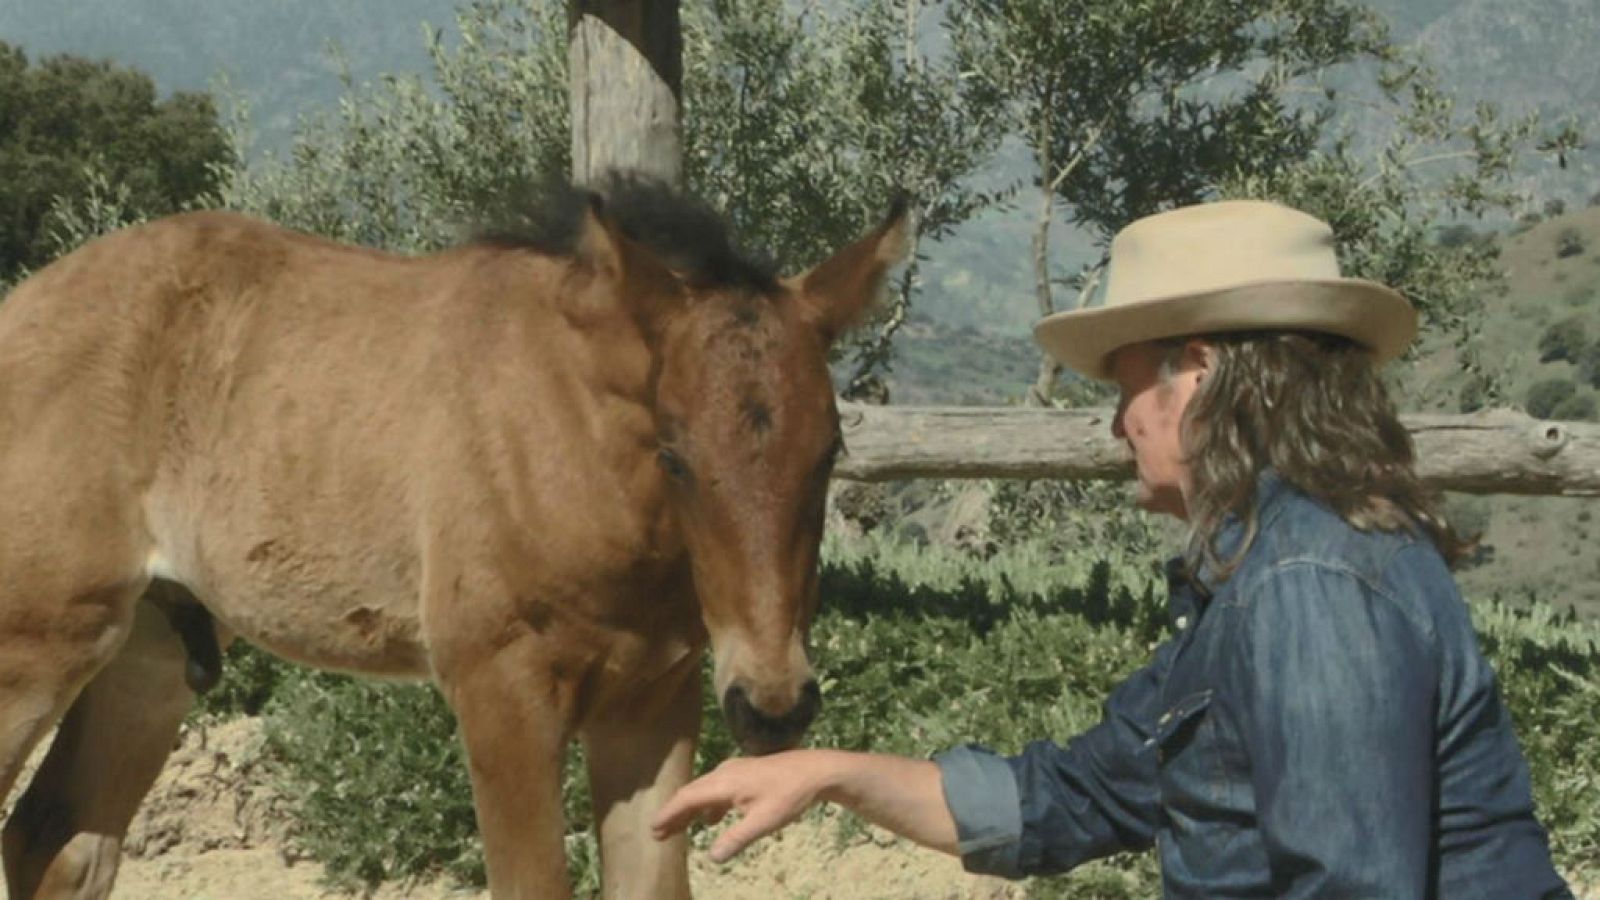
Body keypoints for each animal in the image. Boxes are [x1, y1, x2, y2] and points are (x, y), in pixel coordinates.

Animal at [0, 180, 908, 899]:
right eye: (675, 454)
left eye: (830, 451)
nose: (774, 705)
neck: (573, 452)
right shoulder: (500, 689)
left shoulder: (654, 698)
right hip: (36, 646)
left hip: (147, 652)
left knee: (57, 844)